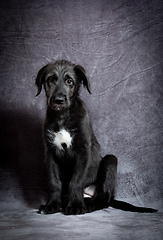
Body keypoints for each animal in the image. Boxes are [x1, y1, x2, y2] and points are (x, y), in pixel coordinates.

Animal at [35, 59, 157, 214]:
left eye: (70, 81)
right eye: (50, 80)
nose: (59, 100)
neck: (62, 116)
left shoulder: (83, 150)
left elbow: (76, 180)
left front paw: (75, 206)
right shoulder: (50, 152)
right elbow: (54, 181)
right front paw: (52, 205)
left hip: (110, 161)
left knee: (103, 198)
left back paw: (87, 204)